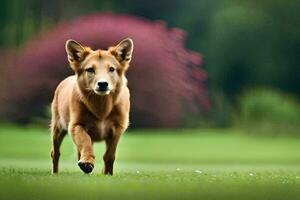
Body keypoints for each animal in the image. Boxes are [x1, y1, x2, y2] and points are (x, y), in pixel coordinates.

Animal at [50, 38, 134, 174]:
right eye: (90, 69)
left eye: (112, 69)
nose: (103, 84)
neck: (101, 106)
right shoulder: (76, 125)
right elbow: (85, 142)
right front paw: (87, 162)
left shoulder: (118, 128)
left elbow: (109, 155)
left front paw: (107, 173)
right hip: (57, 127)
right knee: (55, 153)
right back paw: (56, 173)